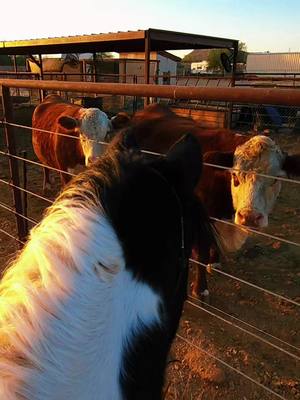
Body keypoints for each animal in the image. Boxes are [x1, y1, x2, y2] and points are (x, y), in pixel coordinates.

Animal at [112, 104, 300, 298]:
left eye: (275, 179)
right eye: (235, 176)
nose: (249, 217)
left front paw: (215, 262)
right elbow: (201, 252)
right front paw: (200, 288)